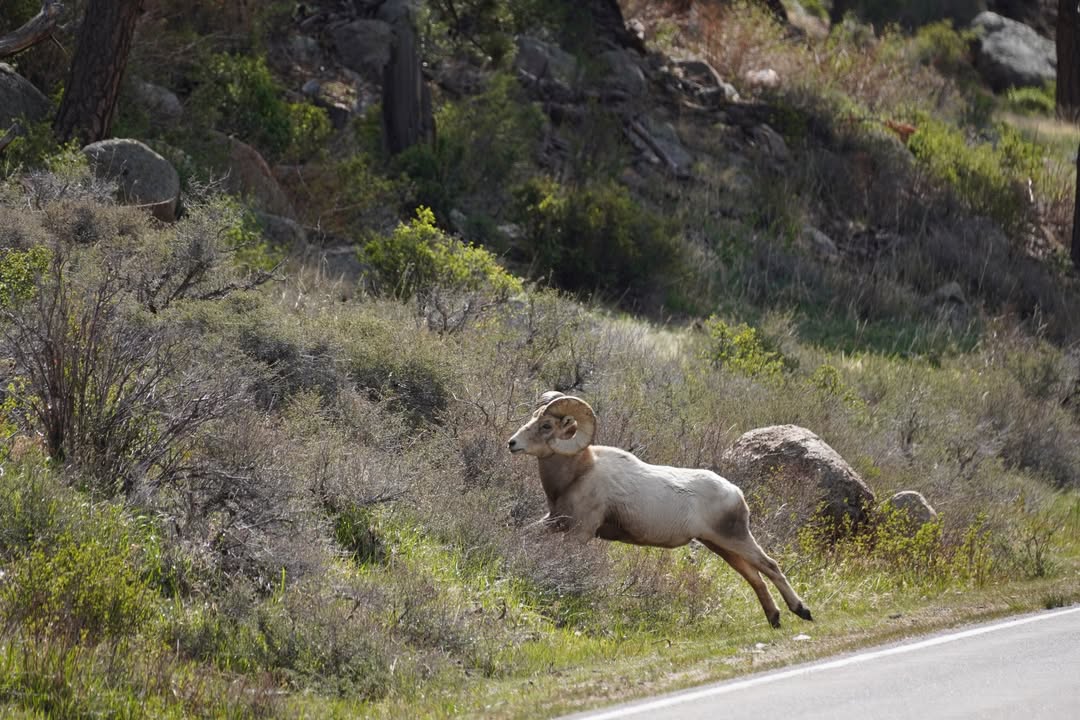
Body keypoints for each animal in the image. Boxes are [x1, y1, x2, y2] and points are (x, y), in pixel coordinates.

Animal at [507, 391, 812, 628]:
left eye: (546, 425)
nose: (512, 443)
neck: (577, 474)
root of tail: (736, 493)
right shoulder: (554, 522)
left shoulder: (580, 533)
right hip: (720, 546)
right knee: (754, 577)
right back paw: (774, 619)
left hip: (735, 539)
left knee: (770, 567)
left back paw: (802, 611)